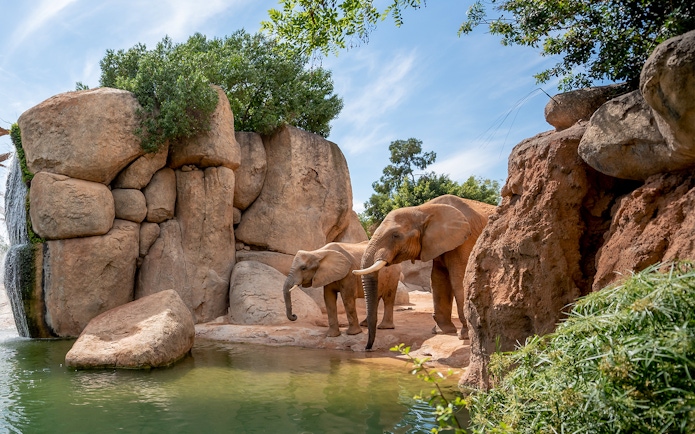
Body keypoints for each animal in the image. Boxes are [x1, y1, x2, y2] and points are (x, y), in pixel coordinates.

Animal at [353, 194, 496, 350]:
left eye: (395, 235)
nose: (367, 347)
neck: (423, 209)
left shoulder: (466, 240)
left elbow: (459, 278)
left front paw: (464, 336)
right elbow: (438, 279)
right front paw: (442, 331)